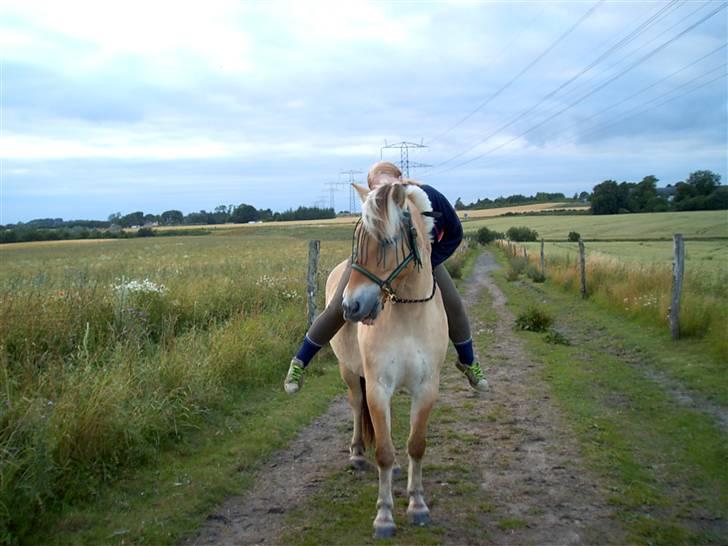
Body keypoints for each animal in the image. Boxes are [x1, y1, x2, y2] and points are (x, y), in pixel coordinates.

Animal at [326, 180, 450, 536]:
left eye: (387, 241)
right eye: (356, 242)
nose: (351, 306)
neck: (408, 316)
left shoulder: (426, 388)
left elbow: (416, 445)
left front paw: (418, 505)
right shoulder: (377, 387)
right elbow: (382, 450)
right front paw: (384, 516)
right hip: (350, 373)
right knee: (356, 406)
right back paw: (356, 454)